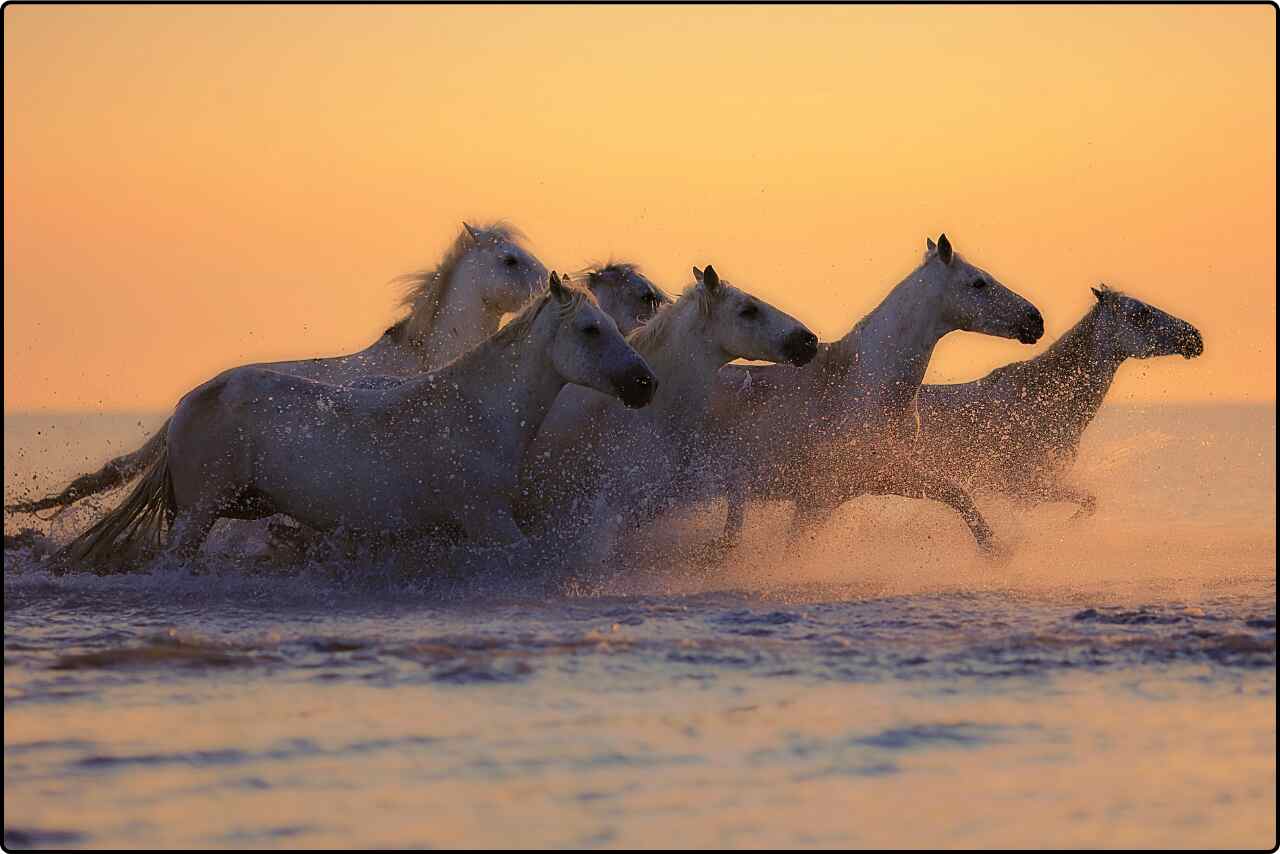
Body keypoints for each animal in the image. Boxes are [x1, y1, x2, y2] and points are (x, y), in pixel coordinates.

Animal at [63, 275, 655, 568]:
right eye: (590, 329)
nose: (644, 383)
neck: (474, 412)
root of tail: (189, 402)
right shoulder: (486, 517)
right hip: (198, 515)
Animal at [706, 235, 1044, 555]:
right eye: (978, 282)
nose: (1035, 320)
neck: (866, 386)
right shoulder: (817, 497)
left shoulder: (882, 477)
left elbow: (954, 492)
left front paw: (995, 551)